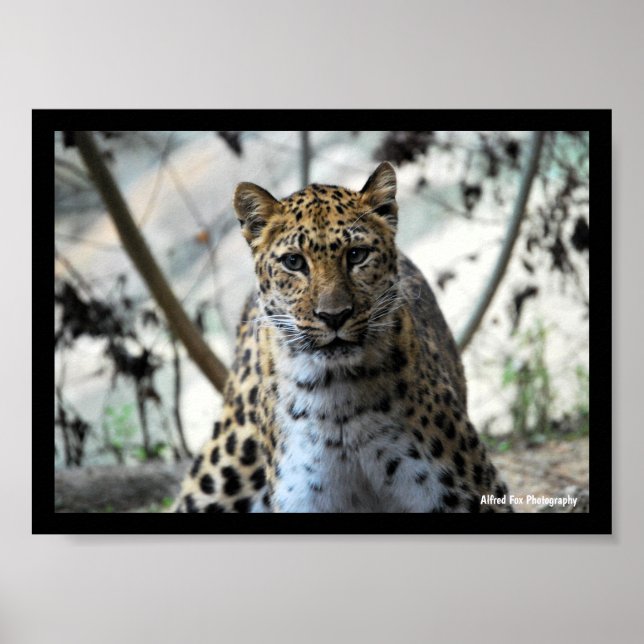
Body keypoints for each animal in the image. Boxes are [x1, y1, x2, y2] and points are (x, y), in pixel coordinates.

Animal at [173, 162, 512, 513]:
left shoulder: (469, 494)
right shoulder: (303, 500)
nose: (334, 315)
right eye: (293, 261)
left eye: (357, 255)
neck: (337, 403)